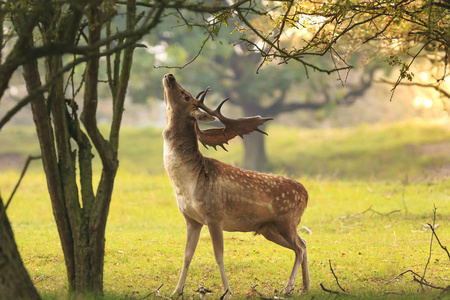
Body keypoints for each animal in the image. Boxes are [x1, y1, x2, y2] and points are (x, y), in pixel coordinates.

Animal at [162, 74, 310, 298]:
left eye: (186, 95)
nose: (170, 76)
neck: (187, 182)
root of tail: (306, 192)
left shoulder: (215, 214)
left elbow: (219, 255)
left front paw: (227, 292)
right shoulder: (191, 219)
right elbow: (187, 255)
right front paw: (176, 291)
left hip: (287, 220)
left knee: (300, 246)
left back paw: (288, 287)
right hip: (270, 229)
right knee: (303, 244)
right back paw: (306, 286)